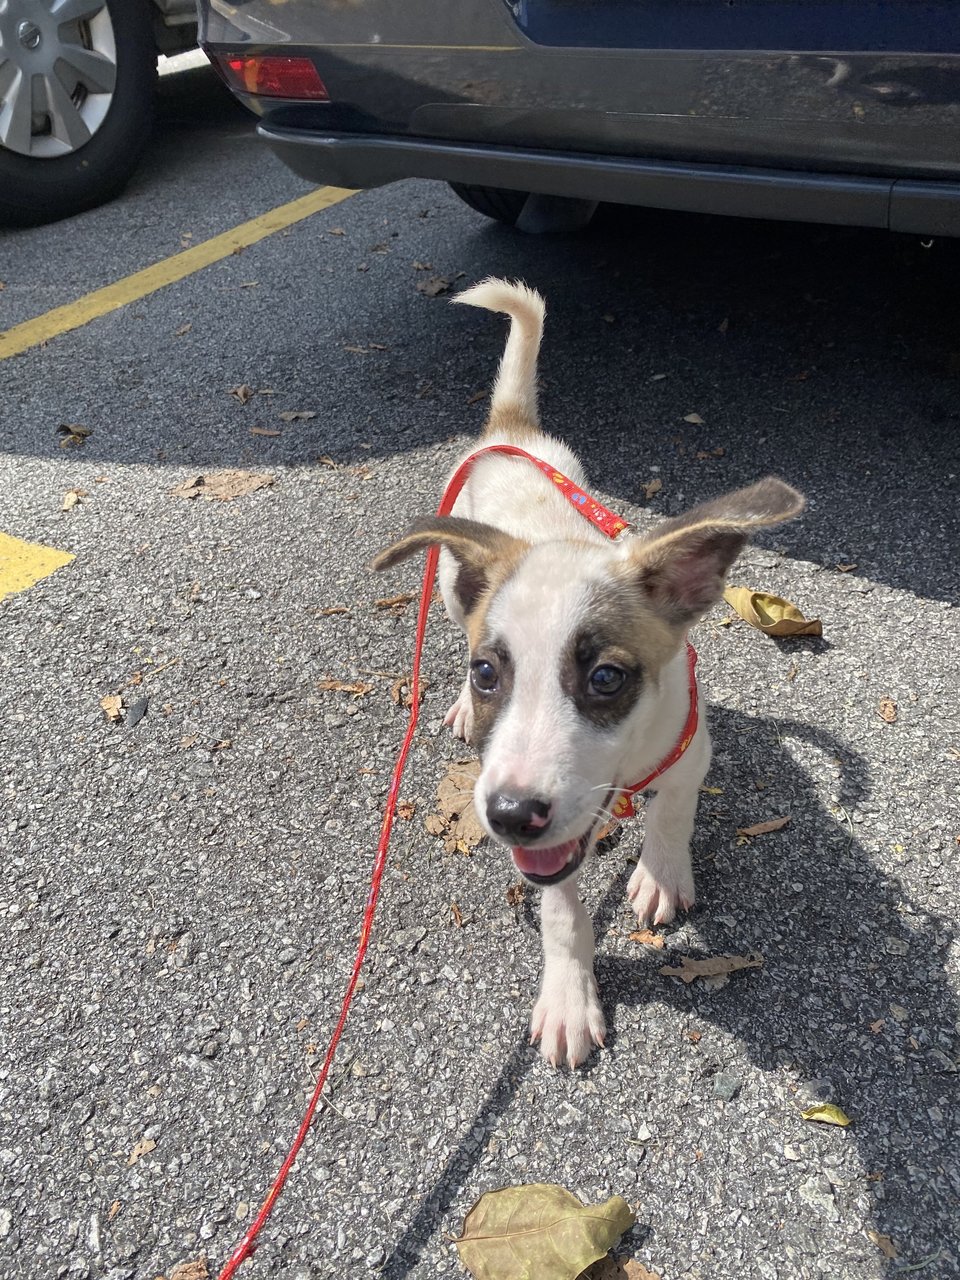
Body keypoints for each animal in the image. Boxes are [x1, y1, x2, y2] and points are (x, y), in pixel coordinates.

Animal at [373, 280, 803, 1070]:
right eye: (489, 672)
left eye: (605, 678)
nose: (510, 815)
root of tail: (511, 430)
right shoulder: (551, 852)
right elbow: (562, 913)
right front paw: (570, 997)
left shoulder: (690, 747)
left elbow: (672, 812)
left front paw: (661, 872)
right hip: (449, 580)